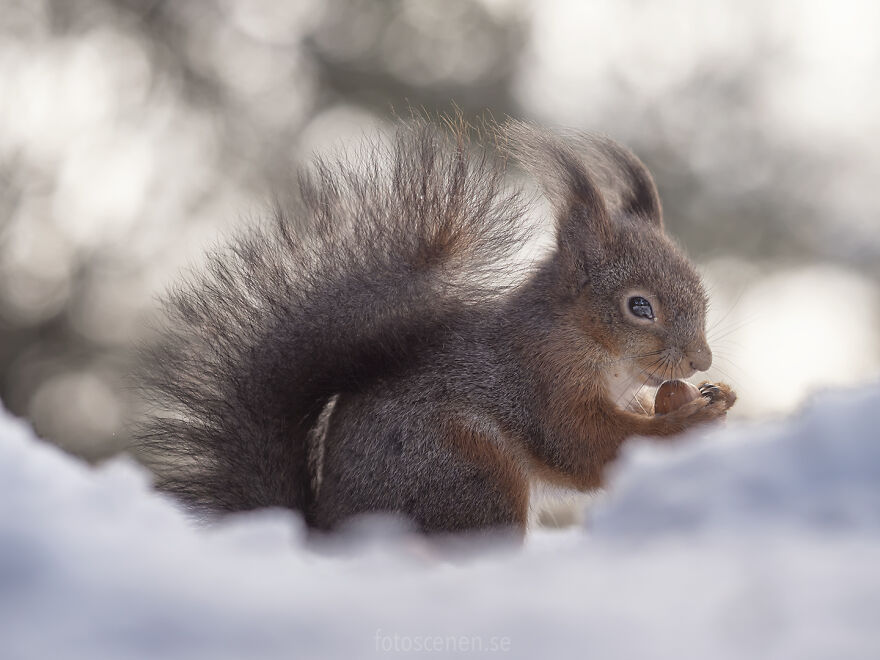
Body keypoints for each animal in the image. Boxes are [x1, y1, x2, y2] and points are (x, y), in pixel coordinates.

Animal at [138, 119, 736, 536]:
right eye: (639, 307)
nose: (700, 360)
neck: (584, 339)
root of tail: (331, 535)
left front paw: (715, 396)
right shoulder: (541, 382)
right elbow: (582, 444)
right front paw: (688, 422)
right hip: (466, 472)